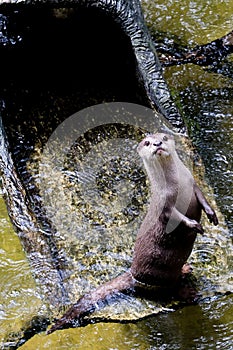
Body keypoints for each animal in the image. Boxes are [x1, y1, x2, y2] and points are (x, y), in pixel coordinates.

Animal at [47, 133, 218, 332]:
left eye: (164, 137)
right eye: (147, 142)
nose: (157, 144)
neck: (179, 185)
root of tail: (134, 273)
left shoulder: (193, 184)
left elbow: (203, 199)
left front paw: (212, 215)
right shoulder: (164, 203)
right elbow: (175, 217)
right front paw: (194, 225)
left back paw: (185, 269)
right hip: (159, 271)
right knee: (168, 289)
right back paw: (188, 292)